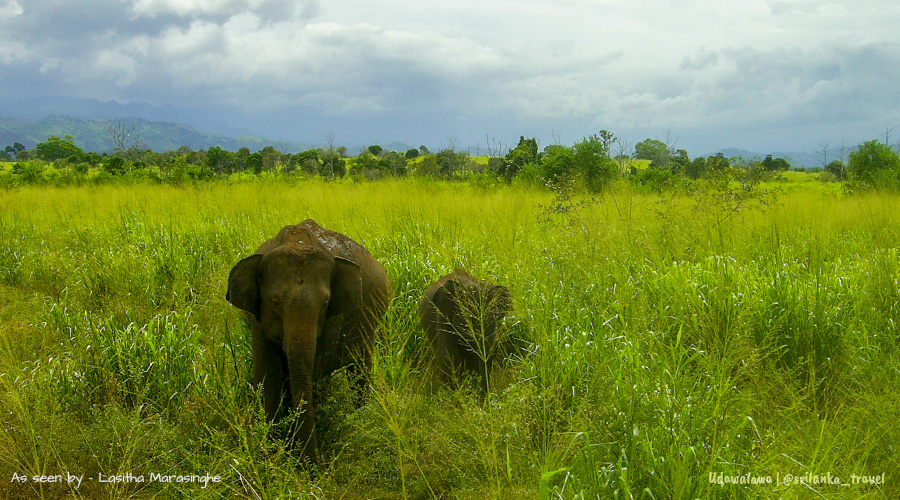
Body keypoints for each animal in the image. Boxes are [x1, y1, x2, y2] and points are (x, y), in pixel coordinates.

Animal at [227, 221, 388, 462]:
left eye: (326, 303)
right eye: (275, 302)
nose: (316, 465)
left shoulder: (333, 317)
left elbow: (313, 371)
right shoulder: (258, 319)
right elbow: (268, 376)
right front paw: (273, 453)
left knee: (359, 372)